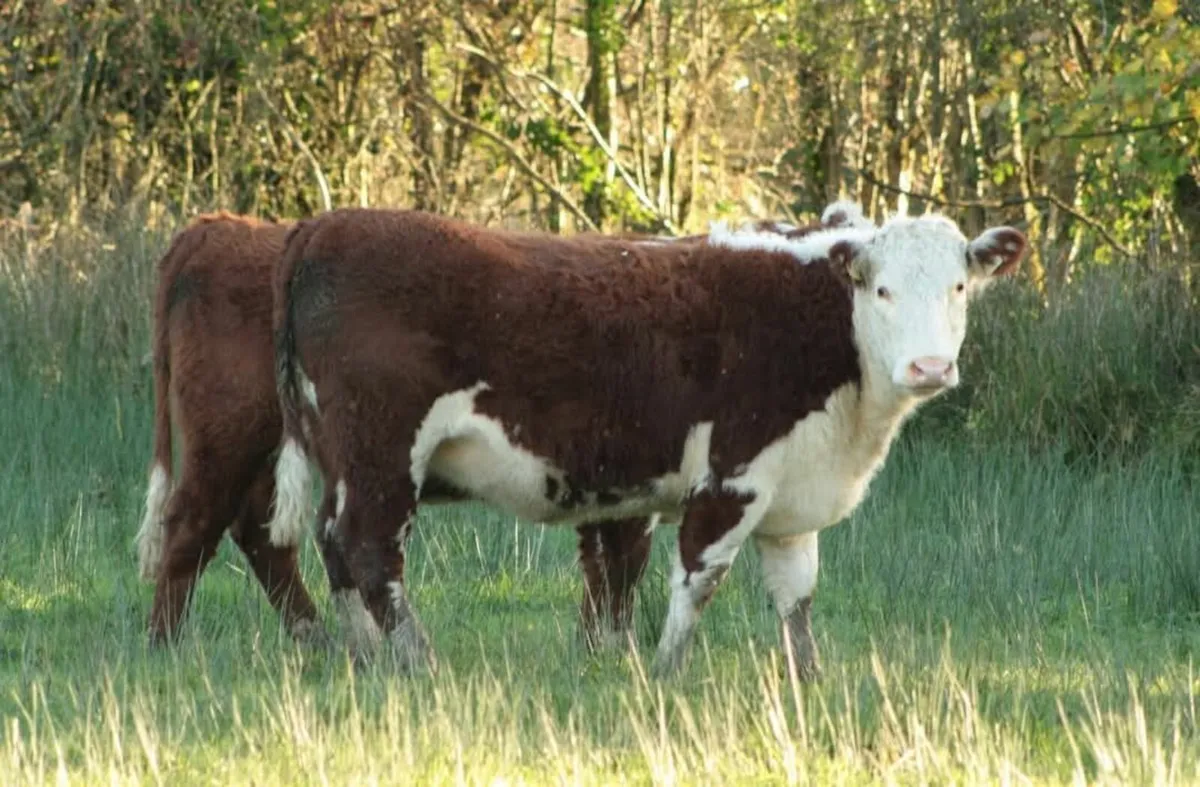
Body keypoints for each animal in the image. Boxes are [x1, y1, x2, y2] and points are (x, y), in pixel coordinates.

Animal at [135, 205, 869, 646]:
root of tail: (227, 227)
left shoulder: (614, 480)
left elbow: (607, 570)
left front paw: (601, 653)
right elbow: (620, 568)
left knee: (265, 534)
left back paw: (320, 643)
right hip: (262, 443)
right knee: (210, 527)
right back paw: (171, 646)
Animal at [264, 206, 1024, 679]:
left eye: (960, 286)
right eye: (883, 290)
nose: (930, 367)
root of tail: (325, 225)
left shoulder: (792, 494)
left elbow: (796, 598)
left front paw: (808, 680)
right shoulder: (731, 478)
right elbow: (699, 579)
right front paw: (665, 672)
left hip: (345, 460)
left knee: (334, 545)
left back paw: (367, 657)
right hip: (383, 452)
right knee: (369, 549)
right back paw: (419, 661)